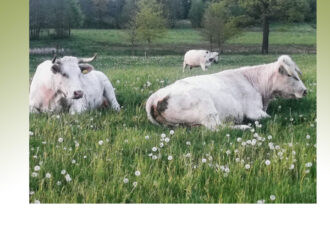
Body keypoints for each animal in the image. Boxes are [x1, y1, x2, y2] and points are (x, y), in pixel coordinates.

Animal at [147, 55, 306, 130]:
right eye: (291, 75)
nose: (305, 91)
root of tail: (154, 98)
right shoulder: (253, 111)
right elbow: (272, 118)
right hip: (206, 107)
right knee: (217, 128)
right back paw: (243, 127)